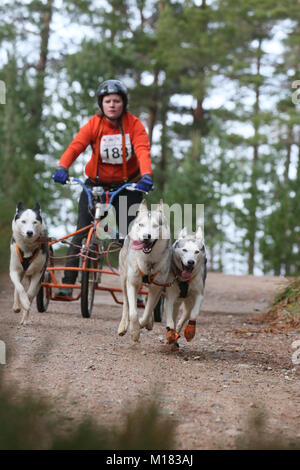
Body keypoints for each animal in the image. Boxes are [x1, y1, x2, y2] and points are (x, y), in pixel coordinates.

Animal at [118, 198, 171, 342]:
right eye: (141, 225)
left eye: (155, 226)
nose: (146, 236)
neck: (148, 261)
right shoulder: (132, 283)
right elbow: (133, 312)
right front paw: (134, 331)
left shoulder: (157, 287)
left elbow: (147, 311)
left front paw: (142, 323)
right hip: (124, 279)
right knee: (126, 303)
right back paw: (123, 326)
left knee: (149, 303)